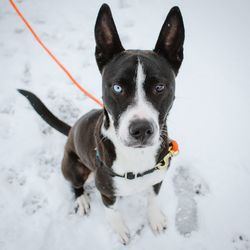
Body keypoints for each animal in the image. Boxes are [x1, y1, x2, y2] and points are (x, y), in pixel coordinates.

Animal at [18, 3, 184, 244]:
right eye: (117, 87)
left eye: (160, 87)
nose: (141, 130)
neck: (136, 158)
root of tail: (71, 131)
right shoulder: (105, 190)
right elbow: (112, 211)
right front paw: (120, 229)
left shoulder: (157, 178)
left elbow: (153, 198)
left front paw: (155, 218)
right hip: (73, 167)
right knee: (76, 184)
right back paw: (81, 199)